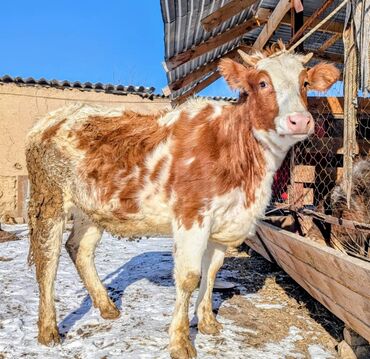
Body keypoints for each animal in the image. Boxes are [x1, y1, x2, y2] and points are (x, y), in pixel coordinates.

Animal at [25, 46, 338, 358]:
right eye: (262, 83)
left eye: (305, 83)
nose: (300, 121)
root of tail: (53, 118)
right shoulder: (192, 216)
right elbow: (189, 276)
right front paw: (180, 342)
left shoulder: (224, 223)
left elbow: (211, 273)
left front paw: (208, 322)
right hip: (49, 198)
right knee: (47, 259)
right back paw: (48, 330)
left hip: (91, 208)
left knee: (80, 248)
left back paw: (107, 307)